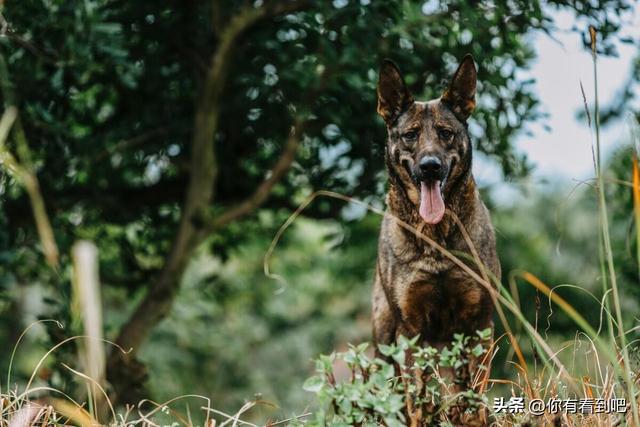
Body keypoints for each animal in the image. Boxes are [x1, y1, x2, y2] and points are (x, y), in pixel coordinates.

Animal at [372, 56, 502, 424]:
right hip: (383, 337)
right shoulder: (411, 331)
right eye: (410, 135)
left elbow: (472, 394)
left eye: (446, 133)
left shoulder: (478, 325)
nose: (430, 166)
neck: (437, 239)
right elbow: (418, 397)